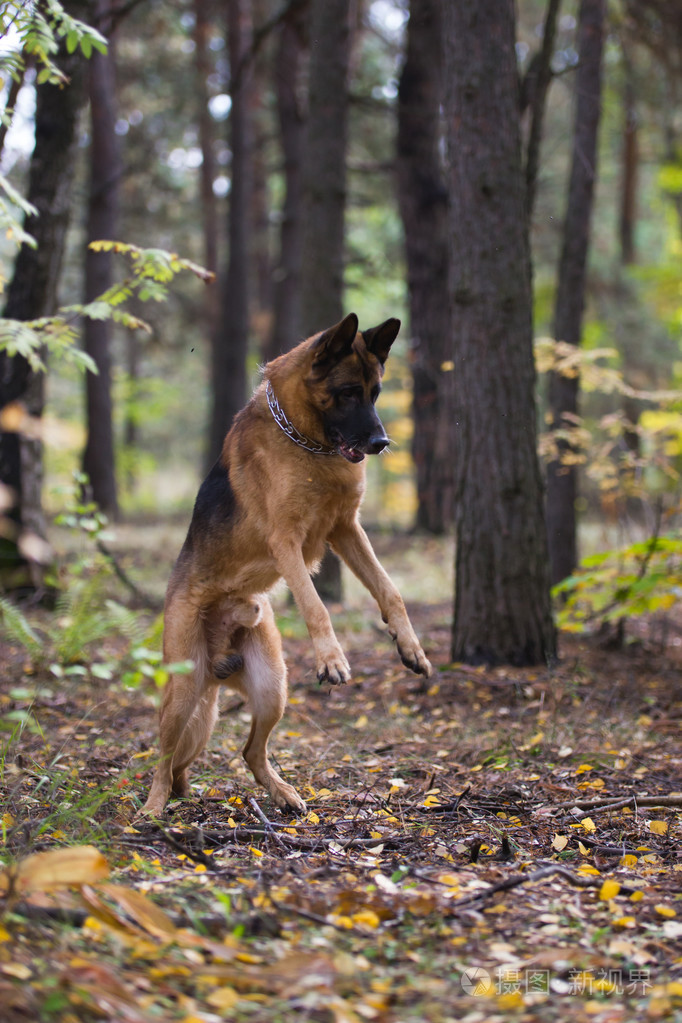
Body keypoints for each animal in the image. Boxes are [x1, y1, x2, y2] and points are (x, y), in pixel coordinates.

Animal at [140, 315, 431, 818]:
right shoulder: (287, 543)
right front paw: (332, 658)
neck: (307, 442)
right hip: (183, 693)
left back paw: (282, 793)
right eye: (348, 392)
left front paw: (409, 645)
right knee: (163, 757)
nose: (381, 442)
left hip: (272, 689)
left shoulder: (347, 531)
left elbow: (389, 589)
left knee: (249, 752)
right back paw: (154, 806)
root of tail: (217, 660)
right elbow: (317, 605)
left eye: (375, 393)